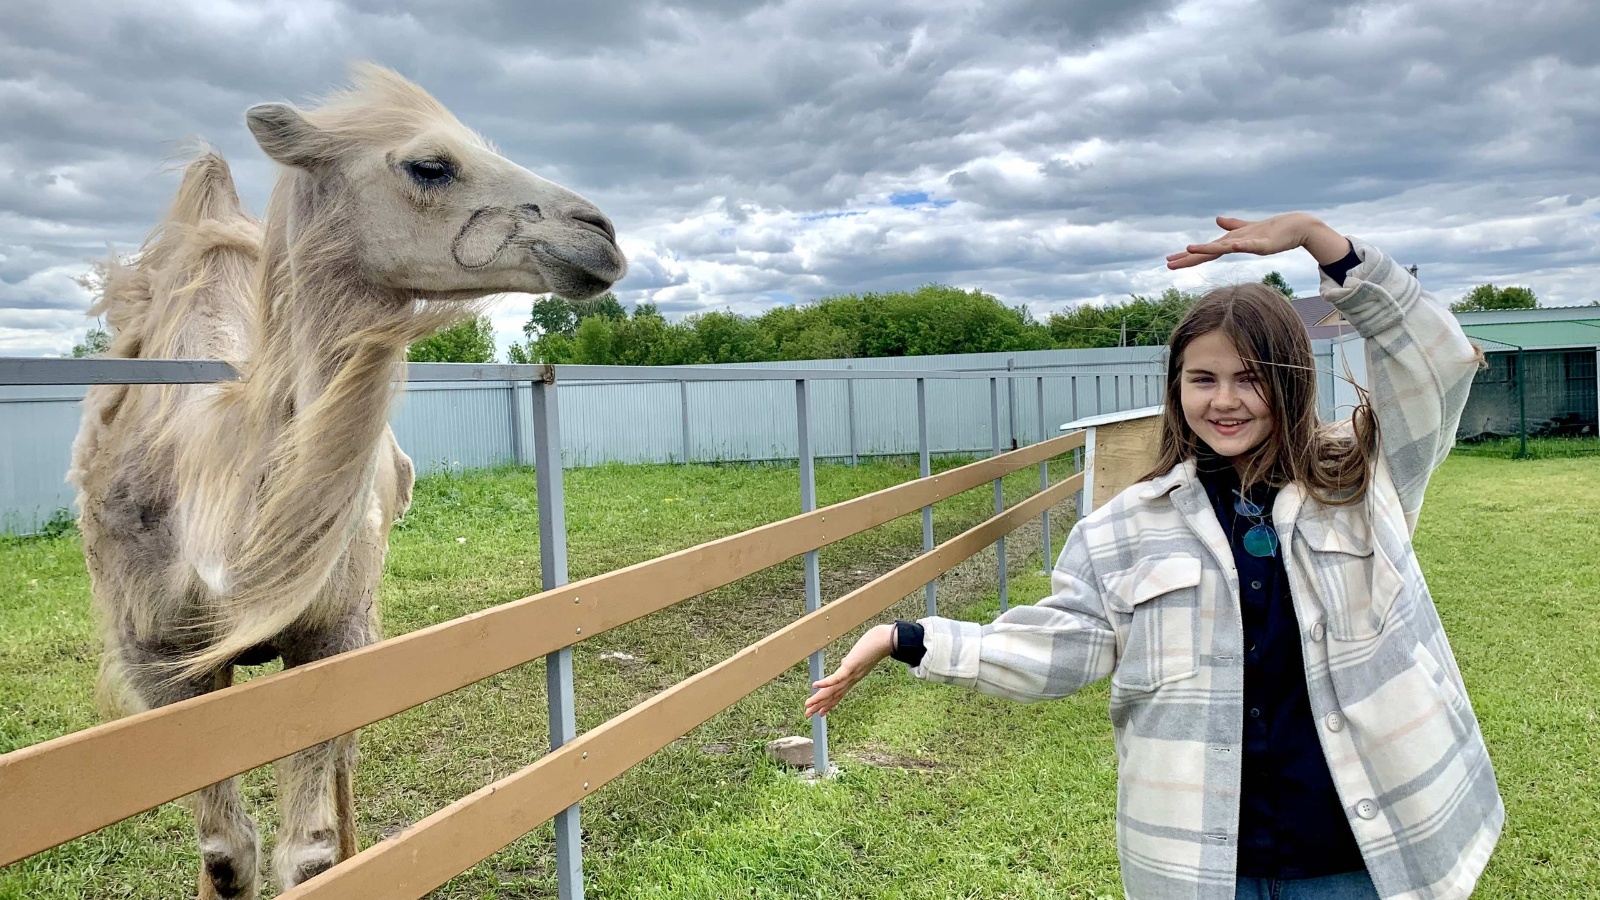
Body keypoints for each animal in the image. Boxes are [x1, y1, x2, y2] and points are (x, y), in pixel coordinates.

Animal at [67, 64, 625, 898]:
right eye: (430, 165)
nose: (600, 233)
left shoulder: (333, 634)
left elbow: (310, 854)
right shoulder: (159, 658)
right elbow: (226, 854)